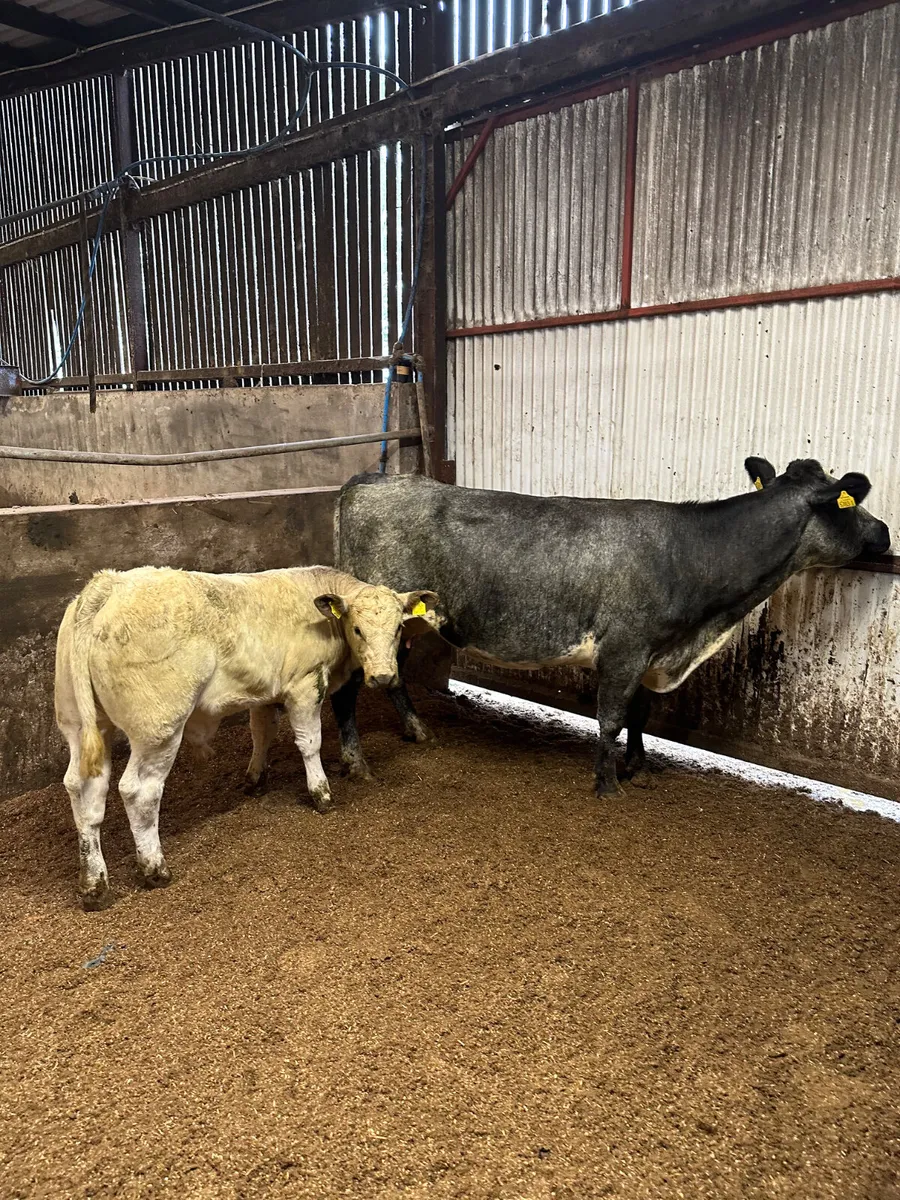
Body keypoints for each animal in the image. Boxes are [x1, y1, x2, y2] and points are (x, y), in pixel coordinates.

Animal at [55, 565, 437, 910]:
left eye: (398, 628)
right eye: (357, 628)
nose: (384, 676)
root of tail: (109, 583)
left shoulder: (264, 694)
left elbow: (262, 733)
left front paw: (255, 780)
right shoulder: (305, 685)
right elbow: (309, 742)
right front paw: (322, 794)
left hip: (79, 724)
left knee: (83, 789)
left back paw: (94, 884)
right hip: (158, 728)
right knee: (139, 791)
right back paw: (155, 869)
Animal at [332, 458, 891, 797]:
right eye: (851, 503)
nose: (885, 532)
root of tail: (374, 479)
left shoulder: (649, 652)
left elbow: (640, 713)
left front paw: (638, 766)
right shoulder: (625, 649)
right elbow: (610, 719)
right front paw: (608, 784)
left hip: (402, 625)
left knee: (395, 675)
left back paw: (416, 729)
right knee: (345, 691)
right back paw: (356, 761)